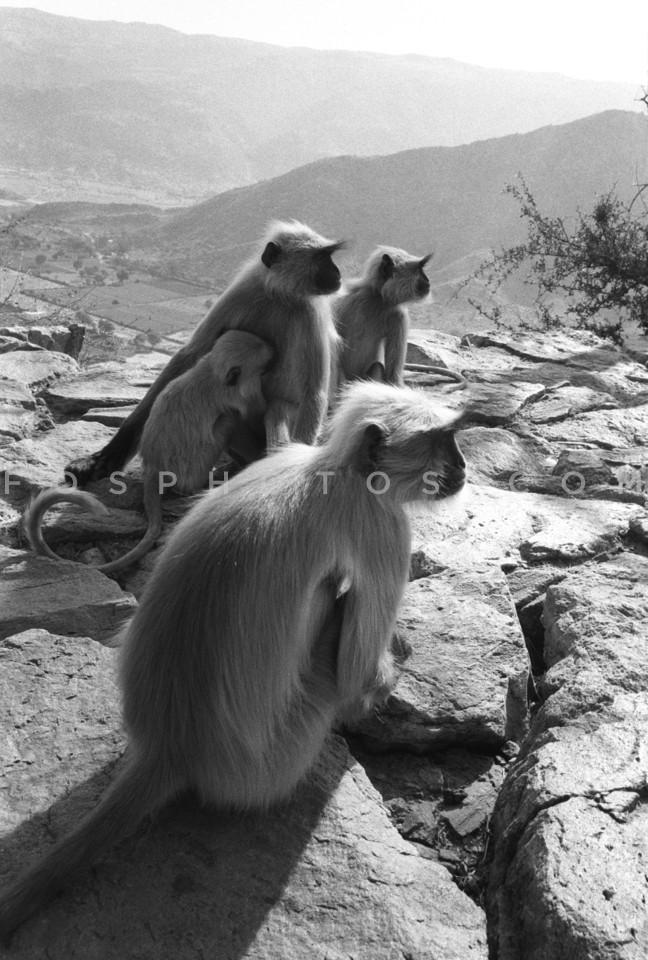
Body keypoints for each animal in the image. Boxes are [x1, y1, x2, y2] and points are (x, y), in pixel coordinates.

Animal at [0, 382, 466, 939]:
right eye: (442, 441)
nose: (463, 465)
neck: (334, 470)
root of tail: (170, 746)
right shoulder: (382, 525)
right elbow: (357, 672)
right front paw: (388, 670)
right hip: (289, 745)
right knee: (334, 600)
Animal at [25, 330, 274, 574]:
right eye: (262, 363)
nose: (272, 349)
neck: (210, 372)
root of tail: (154, 466)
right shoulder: (239, 394)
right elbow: (250, 414)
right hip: (196, 463)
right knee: (228, 422)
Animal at [64, 220, 345, 485]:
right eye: (322, 258)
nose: (337, 272)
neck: (280, 296)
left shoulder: (310, 313)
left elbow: (312, 393)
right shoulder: (242, 293)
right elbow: (188, 356)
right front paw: (107, 456)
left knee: (279, 409)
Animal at [334, 246, 466, 390]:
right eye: (419, 269)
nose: (427, 279)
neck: (377, 299)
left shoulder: (398, 316)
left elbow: (392, 377)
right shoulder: (344, 304)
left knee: (376, 366)